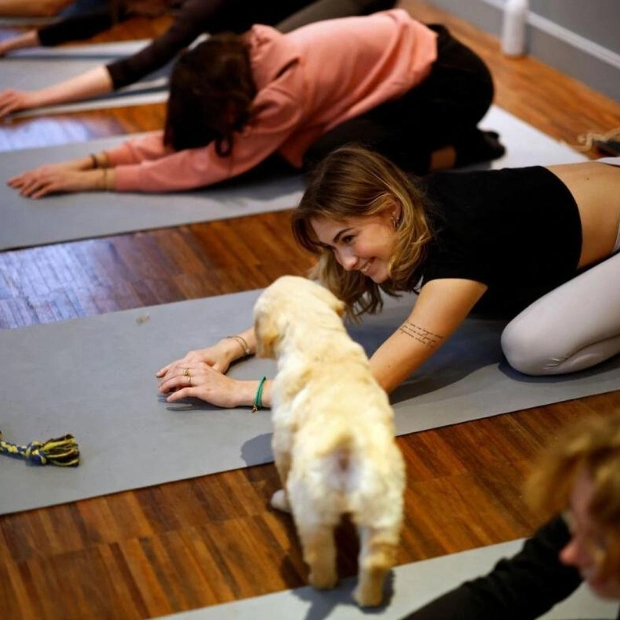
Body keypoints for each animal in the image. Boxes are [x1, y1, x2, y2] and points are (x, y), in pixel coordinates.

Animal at [253, 274, 406, 604]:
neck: (318, 338)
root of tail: (347, 441)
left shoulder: (282, 445)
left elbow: (281, 465)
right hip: (383, 509)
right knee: (376, 560)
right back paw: (367, 598)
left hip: (313, 510)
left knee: (320, 554)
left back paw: (318, 580)